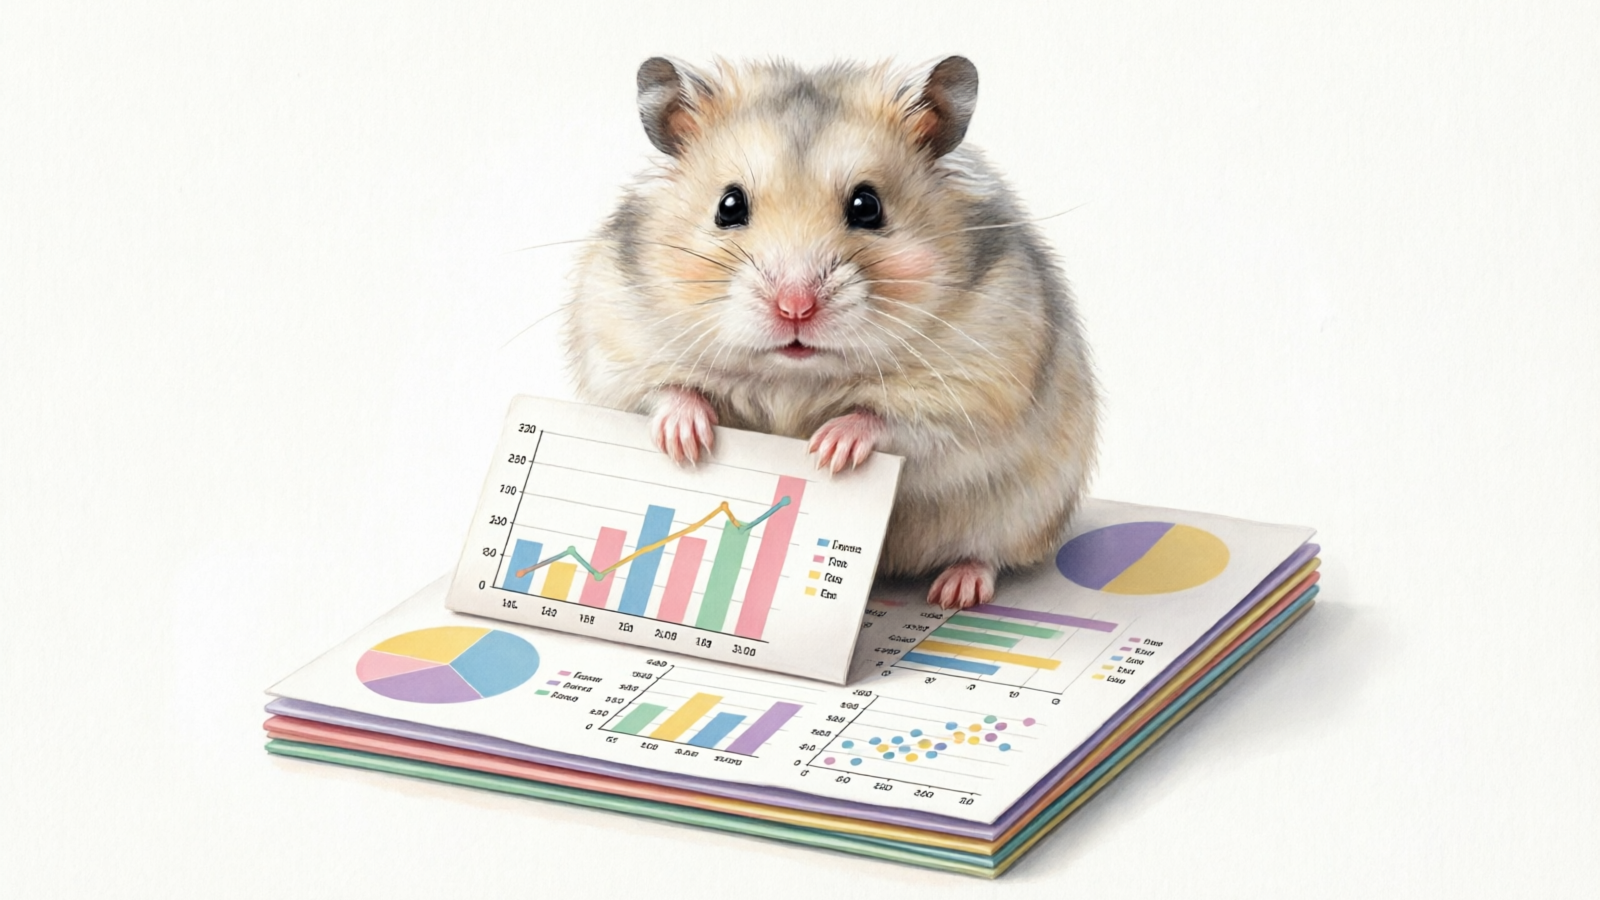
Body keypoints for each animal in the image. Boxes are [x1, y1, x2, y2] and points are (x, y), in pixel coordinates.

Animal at [563, 56, 1098, 610]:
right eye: (729, 206)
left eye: (868, 206)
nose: (795, 307)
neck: (794, 376)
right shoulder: (615, 347)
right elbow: (659, 391)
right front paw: (687, 442)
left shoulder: (979, 386)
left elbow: (897, 420)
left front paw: (828, 449)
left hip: (1027, 510)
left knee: (987, 553)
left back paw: (955, 592)